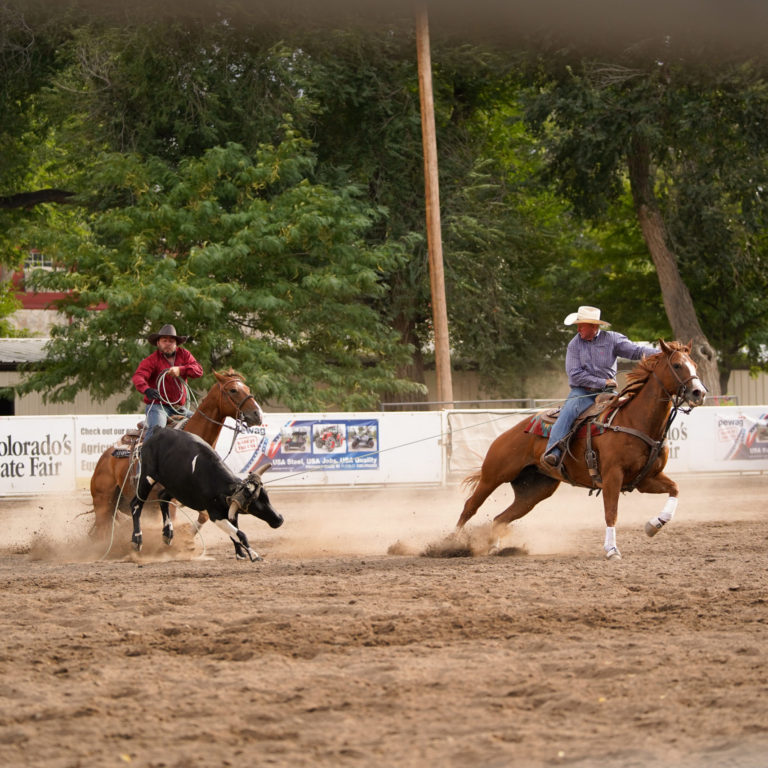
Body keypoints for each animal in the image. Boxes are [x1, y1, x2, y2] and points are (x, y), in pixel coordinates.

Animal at [88, 370, 262, 540]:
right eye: (233, 390)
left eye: (247, 388)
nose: (257, 415)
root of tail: (104, 460)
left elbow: (204, 516)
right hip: (103, 502)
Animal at [456, 340, 708, 560]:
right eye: (677, 365)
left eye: (694, 365)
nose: (699, 392)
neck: (635, 421)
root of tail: (507, 434)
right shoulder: (612, 476)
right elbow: (611, 512)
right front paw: (611, 550)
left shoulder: (645, 479)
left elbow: (675, 489)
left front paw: (653, 526)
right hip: (493, 476)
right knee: (470, 507)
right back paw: (455, 543)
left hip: (534, 491)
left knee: (500, 518)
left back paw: (494, 547)